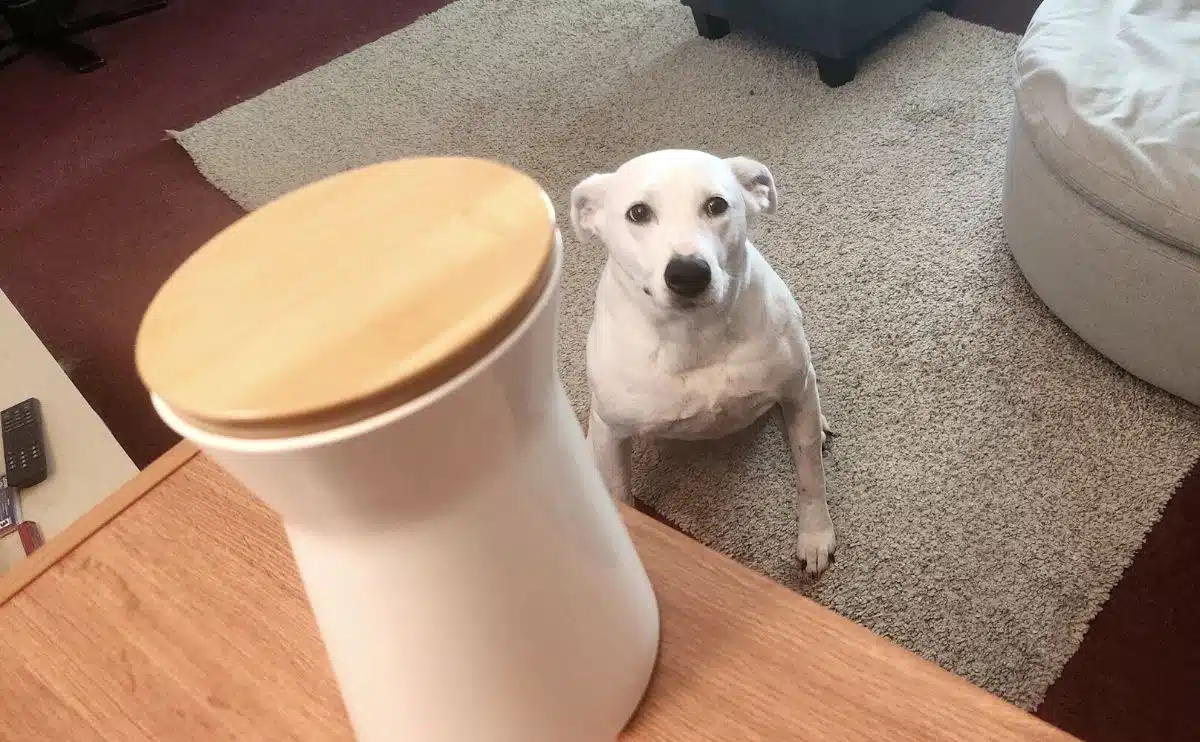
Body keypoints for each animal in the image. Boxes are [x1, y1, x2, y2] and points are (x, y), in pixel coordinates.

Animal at [568, 150, 835, 573]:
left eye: (716, 205)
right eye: (637, 212)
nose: (688, 273)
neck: (695, 334)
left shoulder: (795, 392)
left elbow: (811, 474)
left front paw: (815, 536)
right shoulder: (613, 433)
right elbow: (620, 494)